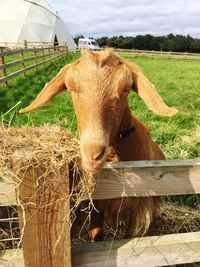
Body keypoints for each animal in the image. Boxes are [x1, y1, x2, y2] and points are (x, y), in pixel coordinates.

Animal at [19, 49, 177, 242]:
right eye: (70, 87)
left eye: (126, 88)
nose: (93, 155)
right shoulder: (96, 205)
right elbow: (96, 234)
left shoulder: (140, 208)